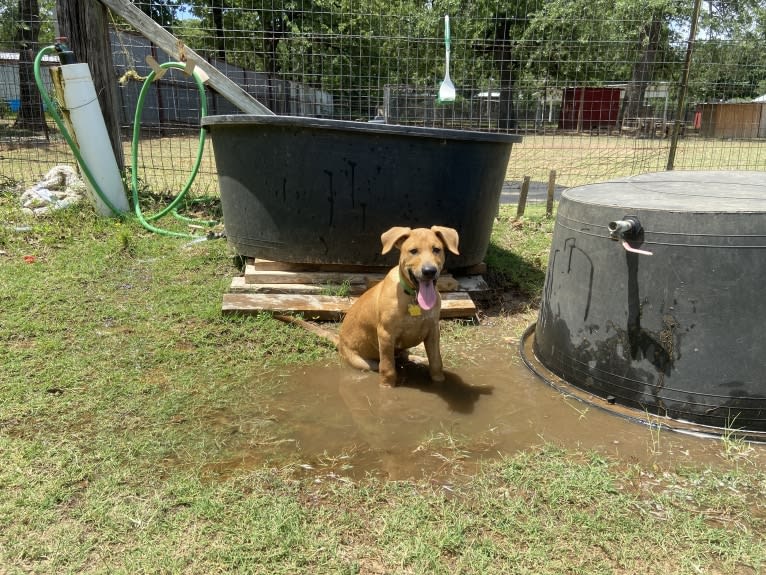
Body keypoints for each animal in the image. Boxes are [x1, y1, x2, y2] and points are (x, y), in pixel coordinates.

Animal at [338, 225, 460, 388]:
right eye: (413, 251)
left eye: (436, 249)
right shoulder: (386, 334)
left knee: (404, 357)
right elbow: (388, 368)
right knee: (383, 364)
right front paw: (386, 387)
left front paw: (439, 381)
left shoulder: (433, 330)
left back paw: (417, 359)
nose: (429, 271)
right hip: (363, 362)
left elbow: (436, 363)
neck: (413, 298)